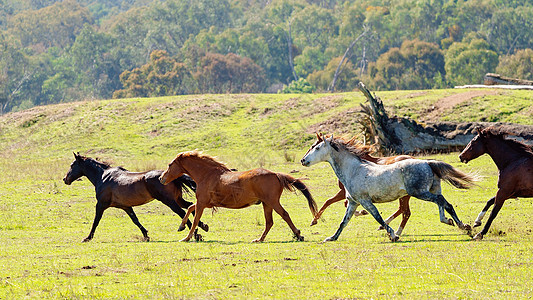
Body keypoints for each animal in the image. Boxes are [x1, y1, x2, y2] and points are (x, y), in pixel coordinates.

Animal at [63, 154, 207, 243]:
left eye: (72, 165)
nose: (65, 179)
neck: (103, 176)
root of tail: (168, 176)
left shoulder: (101, 205)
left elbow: (96, 221)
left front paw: (87, 238)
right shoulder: (126, 206)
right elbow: (135, 220)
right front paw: (146, 235)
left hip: (169, 201)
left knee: (182, 212)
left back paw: (194, 233)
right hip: (177, 199)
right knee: (191, 205)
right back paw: (202, 226)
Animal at [158, 151, 316, 243]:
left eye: (170, 165)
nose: (161, 178)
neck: (207, 175)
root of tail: (276, 174)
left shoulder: (202, 203)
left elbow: (195, 218)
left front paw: (186, 237)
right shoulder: (206, 203)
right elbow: (191, 208)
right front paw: (182, 226)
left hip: (272, 202)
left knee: (284, 215)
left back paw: (298, 235)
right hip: (266, 204)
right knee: (269, 222)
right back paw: (259, 239)